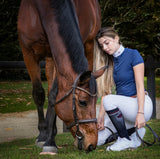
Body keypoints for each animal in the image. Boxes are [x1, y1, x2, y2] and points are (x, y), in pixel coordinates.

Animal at [17, 0, 101, 154]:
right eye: (82, 102)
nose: (92, 144)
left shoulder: (57, 56)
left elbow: (53, 96)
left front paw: (50, 141)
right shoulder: (28, 52)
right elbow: (38, 94)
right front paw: (43, 136)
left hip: (89, 44)